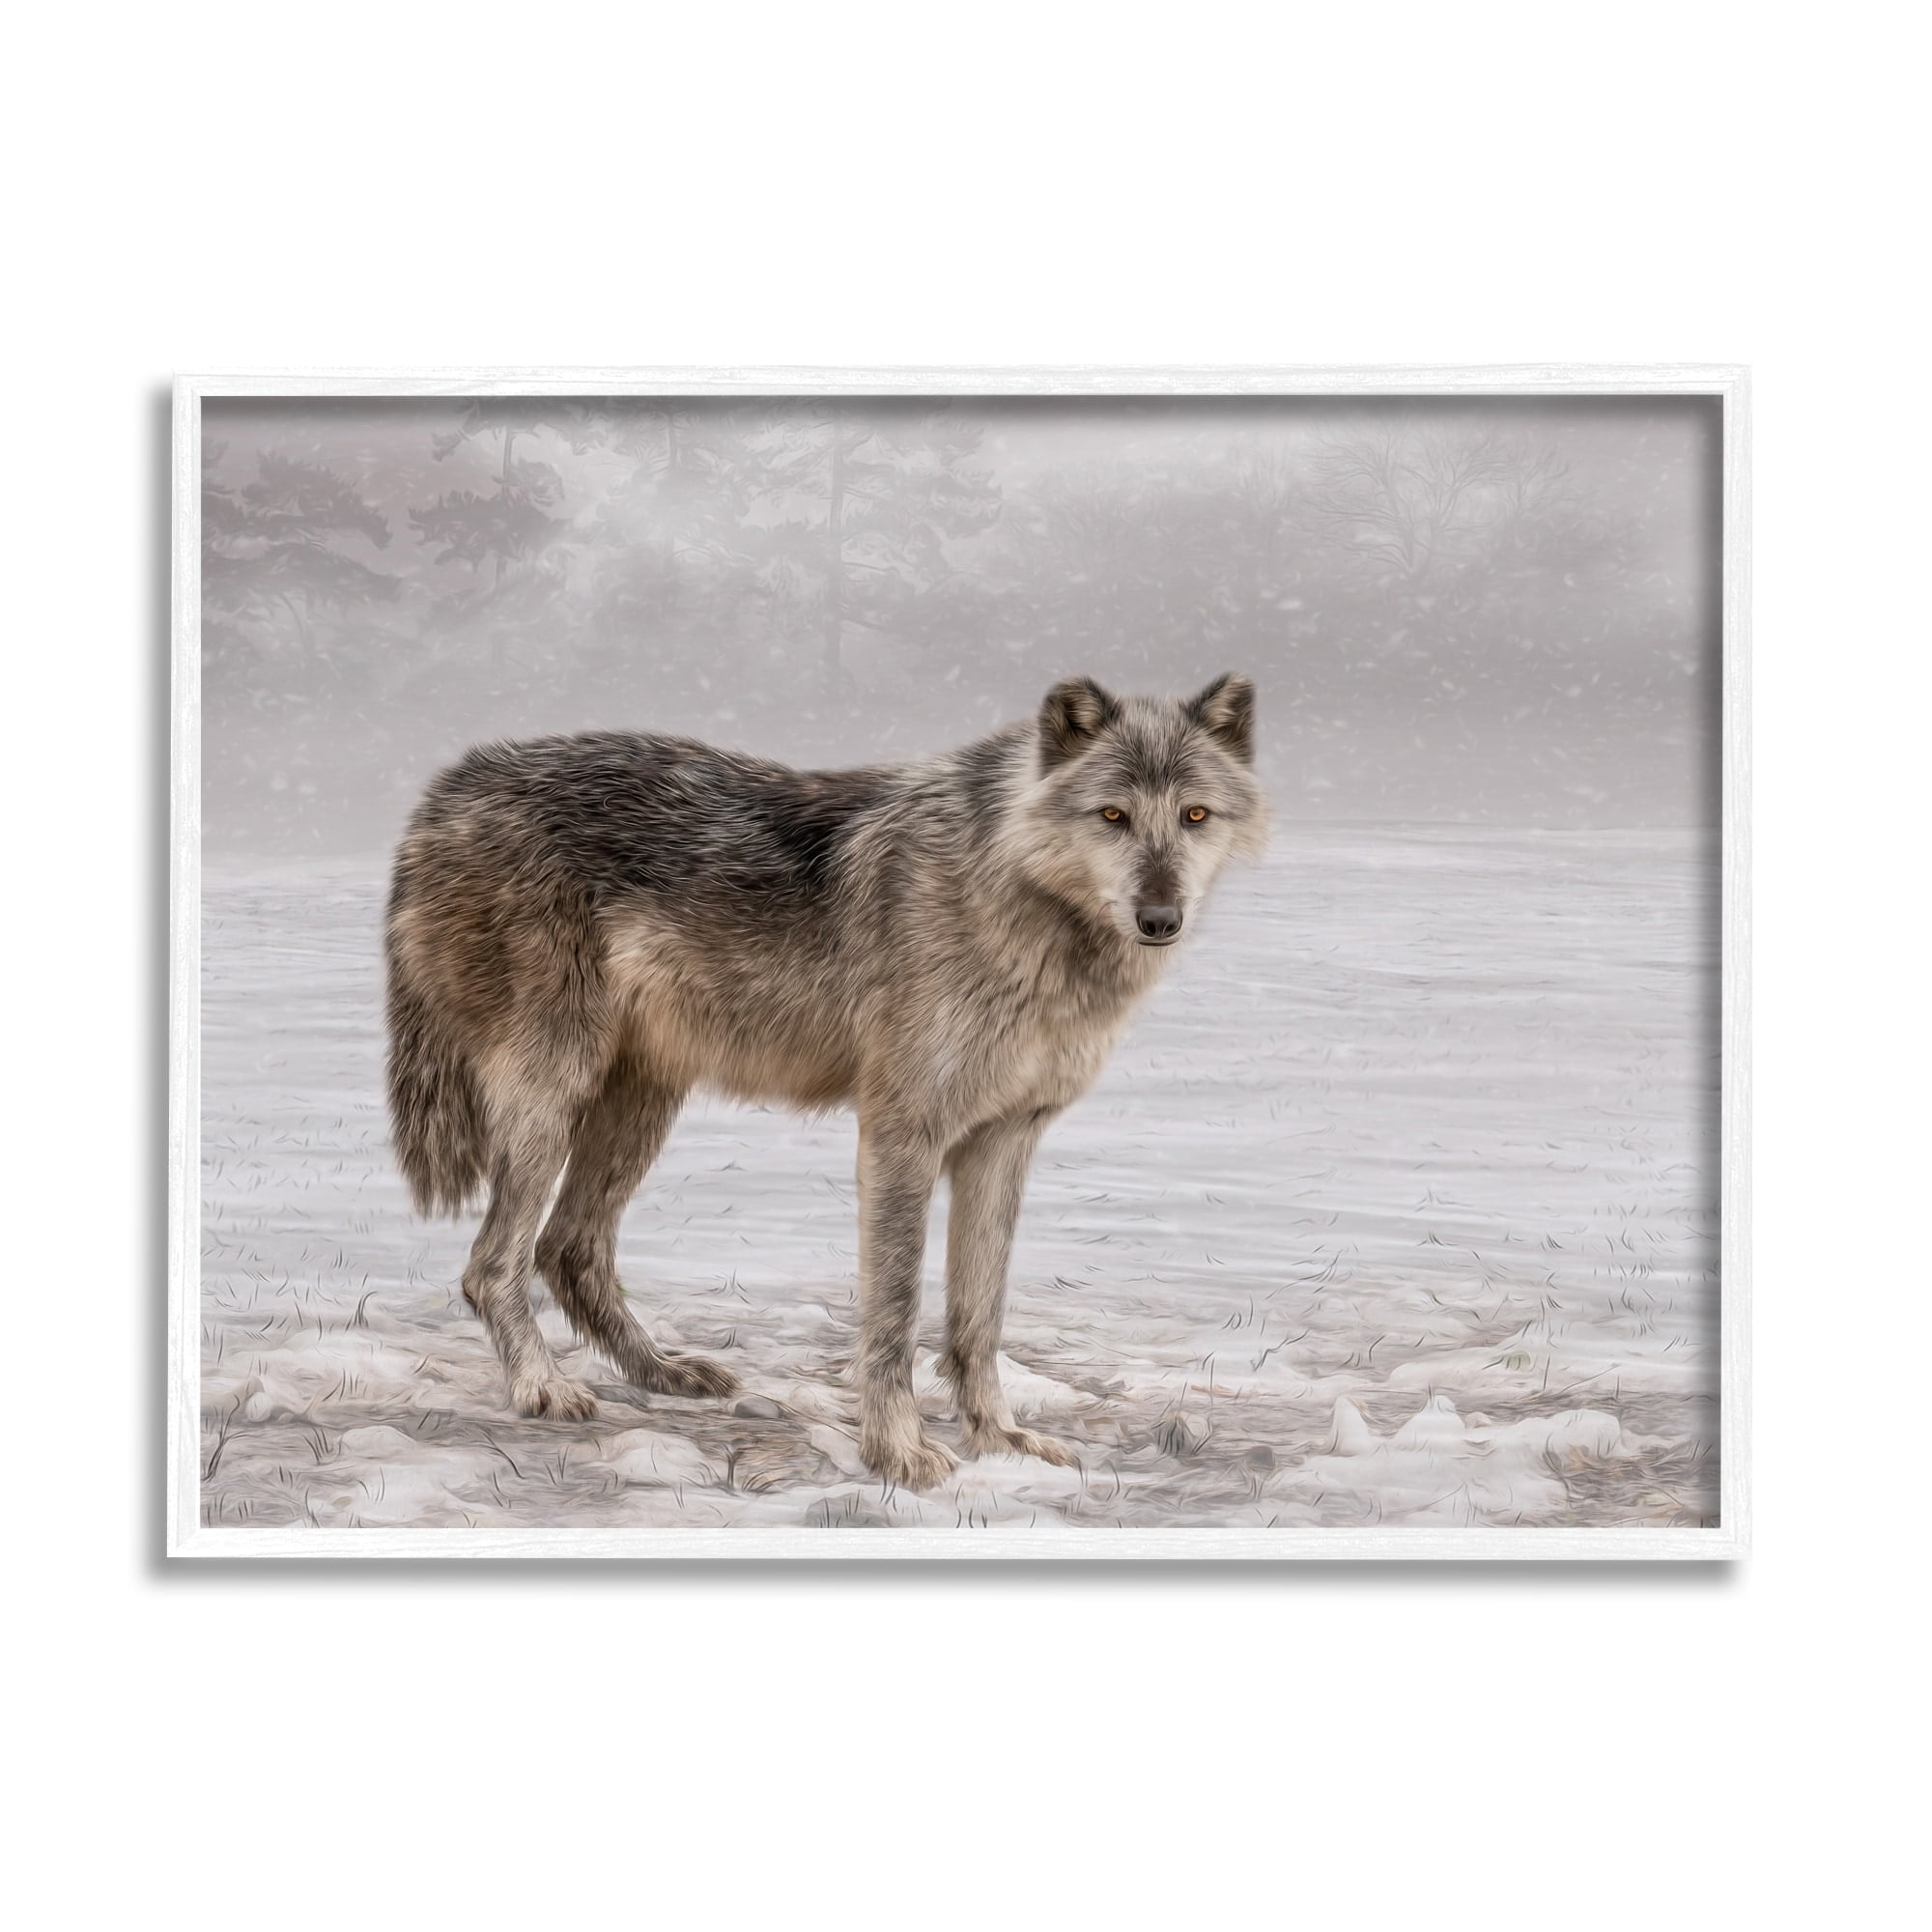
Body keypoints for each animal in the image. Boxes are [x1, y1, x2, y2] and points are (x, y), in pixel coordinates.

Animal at [385, 673, 1265, 1488]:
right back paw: (542, 1388)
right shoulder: (903, 1133)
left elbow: (979, 1318)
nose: (1161, 918)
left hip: (642, 1099)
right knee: (493, 1264)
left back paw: (665, 1373)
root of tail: (449, 785)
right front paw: (900, 1452)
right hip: (554, 1093)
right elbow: (896, 1314)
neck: (1018, 903)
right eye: (1112, 816)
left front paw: (1002, 1442)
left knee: (568, 1247)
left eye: (1195, 816)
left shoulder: (1004, 1139)